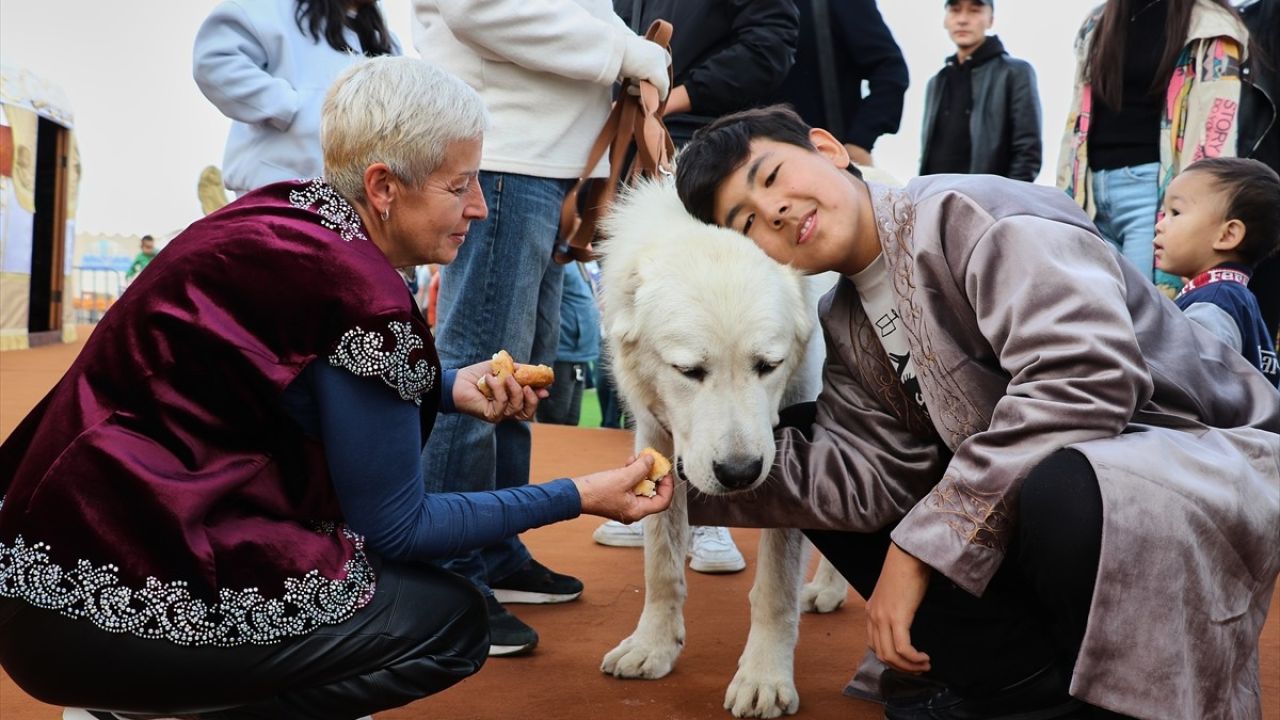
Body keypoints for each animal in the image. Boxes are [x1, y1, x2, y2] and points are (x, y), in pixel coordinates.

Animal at [596, 175, 849, 717]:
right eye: (689, 370)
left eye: (768, 365)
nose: (739, 473)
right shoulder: (658, 442)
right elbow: (660, 564)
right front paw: (653, 647)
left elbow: (775, 588)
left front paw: (764, 678)